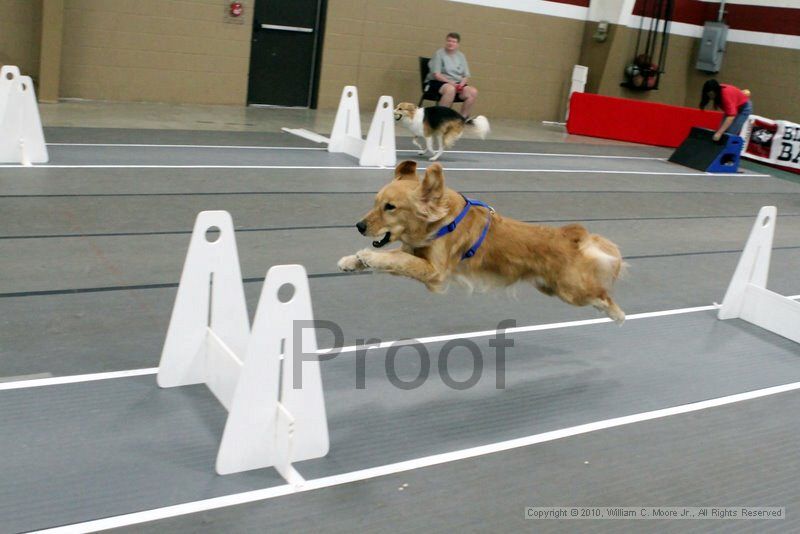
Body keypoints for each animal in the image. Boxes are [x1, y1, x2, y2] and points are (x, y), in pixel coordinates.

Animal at [336, 161, 624, 324]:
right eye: (375, 203)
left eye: (390, 207)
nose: (359, 226)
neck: (441, 221)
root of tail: (570, 236)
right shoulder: (415, 252)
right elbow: (395, 258)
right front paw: (353, 260)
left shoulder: (435, 272)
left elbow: (397, 260)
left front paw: (368, 257)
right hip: (550, 288)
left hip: (571, 290)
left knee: (602, 295)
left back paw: (618, 315)